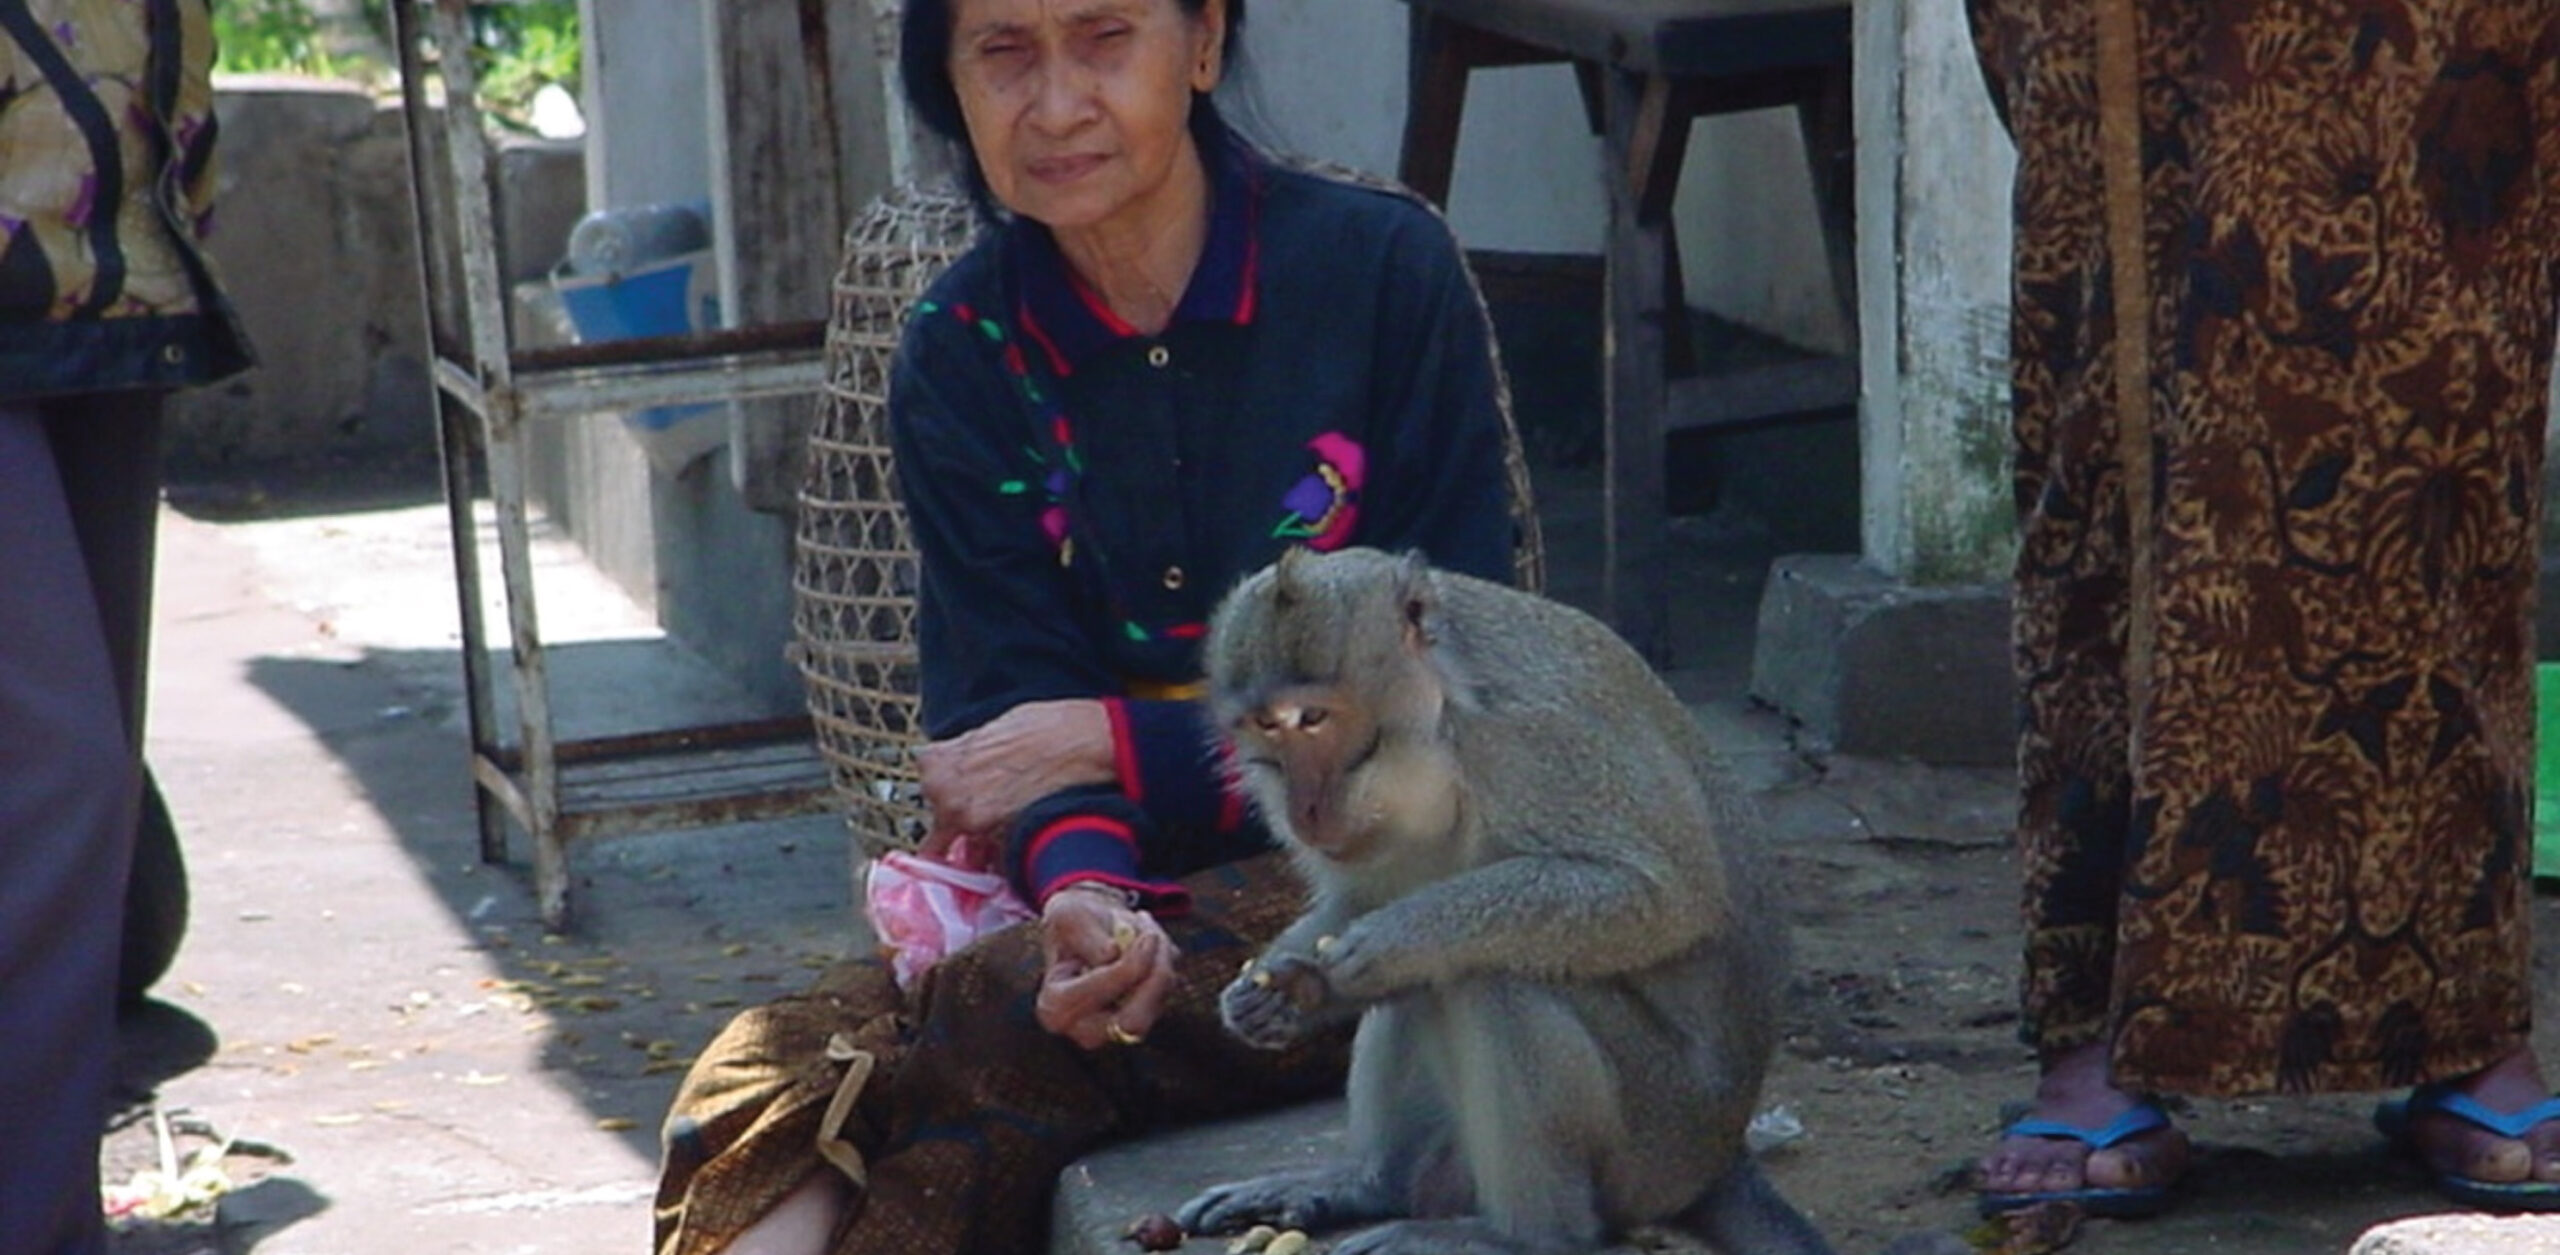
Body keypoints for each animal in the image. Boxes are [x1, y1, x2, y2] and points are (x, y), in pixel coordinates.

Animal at [1172, 548, 1832, 1255]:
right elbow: (1365, 896)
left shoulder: (1531, 738)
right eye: (1267, 726)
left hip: (1654, 1140)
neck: (1441, 722)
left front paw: (1398, 937)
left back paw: (1527, 1236)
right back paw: (1371, 1185)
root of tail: (1719, 1156)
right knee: (1428, 988)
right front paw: (1282, 990)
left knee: (1492, 978)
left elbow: (1664, 897)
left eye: (1313, 719)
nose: (1305, 810)